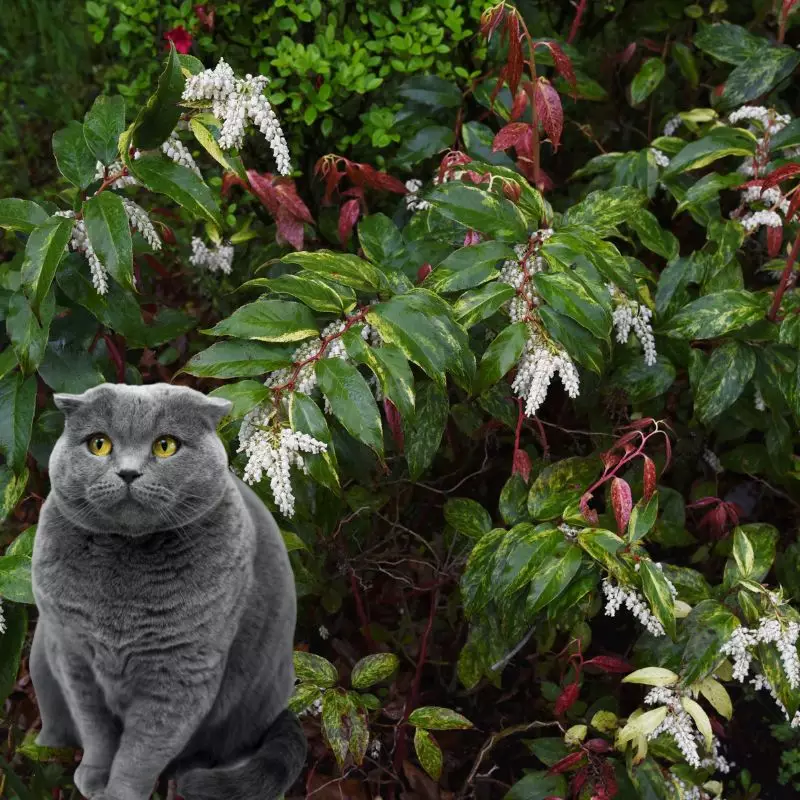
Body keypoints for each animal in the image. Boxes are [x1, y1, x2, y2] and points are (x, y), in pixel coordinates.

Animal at [30, 382, 306, 800]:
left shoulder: (180, 673)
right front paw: (94, 775)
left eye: (165, 446)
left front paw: (117, 794)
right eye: (99, 444)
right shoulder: (72, 655)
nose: (128, 472)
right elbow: (95, 729)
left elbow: (140, 753)